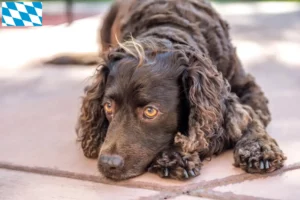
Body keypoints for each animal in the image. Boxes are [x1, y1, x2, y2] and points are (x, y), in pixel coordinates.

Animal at [73, 0, 286, 180]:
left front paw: (258, 148)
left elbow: (251, 117)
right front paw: (174, 155)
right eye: (108, 107)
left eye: (150, 111)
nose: (108, 163)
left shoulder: (248, 88)